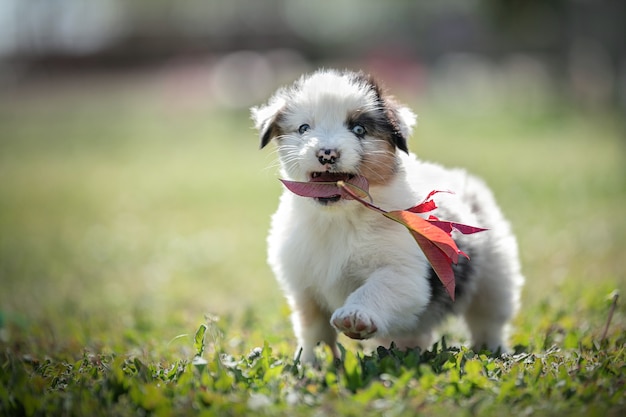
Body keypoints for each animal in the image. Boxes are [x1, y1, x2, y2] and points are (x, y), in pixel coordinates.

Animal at [250, 68, 520, 360]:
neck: (342, 218)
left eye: (358, 129)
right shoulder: (303, 287)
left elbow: (377, 288)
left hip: (495, 274)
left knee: (488, 317)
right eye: (303, 128)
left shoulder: (405, 272)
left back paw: (492, 349)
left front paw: (355, 315)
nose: (326, 154)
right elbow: (313, 329)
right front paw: (312, 362)